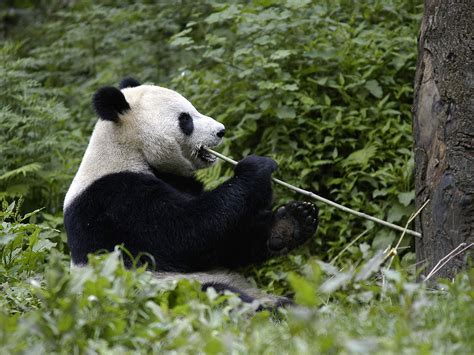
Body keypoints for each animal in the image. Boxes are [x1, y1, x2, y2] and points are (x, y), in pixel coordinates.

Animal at [64, 78, 318, 308]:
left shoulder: (180, 181)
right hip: (167, 290)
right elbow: (184, 234)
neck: (129, 149)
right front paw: (256, 168)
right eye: (185, 119)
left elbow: (226, 243)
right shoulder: (115, 199)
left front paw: (294, 221)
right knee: (218, 296)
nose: (221, 131)